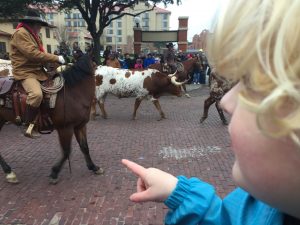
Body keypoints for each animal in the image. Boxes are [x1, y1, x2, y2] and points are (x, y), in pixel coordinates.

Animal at [0, 53, 103, 185]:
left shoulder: (80, 126)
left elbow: (84, 147)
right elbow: (66, 151)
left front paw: (94, 167)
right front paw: (54, 173)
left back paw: (9, 172)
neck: (74, 94)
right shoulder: (65, 129)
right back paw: (9, 172)